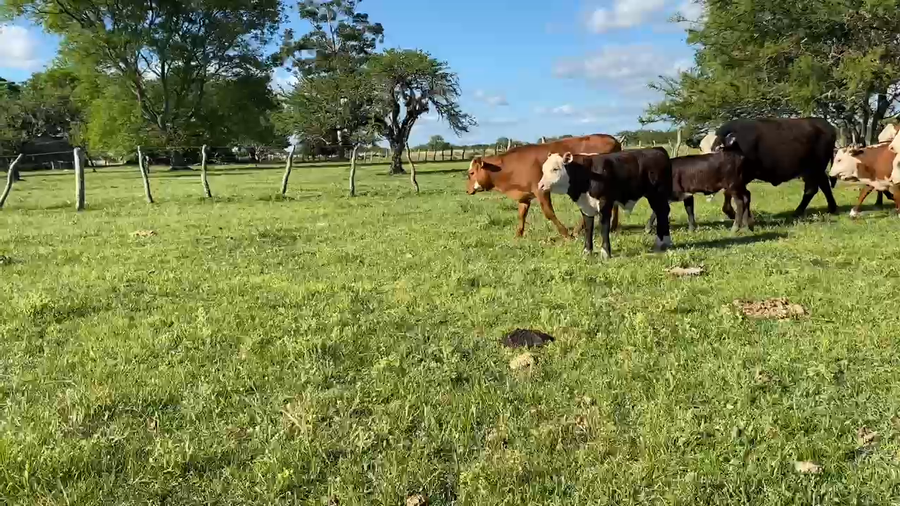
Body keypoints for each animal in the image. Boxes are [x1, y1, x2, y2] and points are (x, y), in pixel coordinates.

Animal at [466, 134, 621, 238]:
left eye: (471, 173)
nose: (467, 190)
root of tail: (613, 140)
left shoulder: (541, 190)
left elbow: (549, 213)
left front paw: (565, 234)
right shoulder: (525, 195)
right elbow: (521, 214)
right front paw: (518, 235)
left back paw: (578, 230)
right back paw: (612, 227)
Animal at [537, 148, 673, 259]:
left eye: (555, 168)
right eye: (543, 170)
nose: (540, 185)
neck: (587, 174)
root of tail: (658, 150)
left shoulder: (605, 203)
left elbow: (604, 227)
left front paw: (605, 252)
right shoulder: (586, 206)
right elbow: (588, 227)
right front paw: (587, 252)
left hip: (657, 194)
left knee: (662, 212)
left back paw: (663, 241)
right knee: (662, 212)